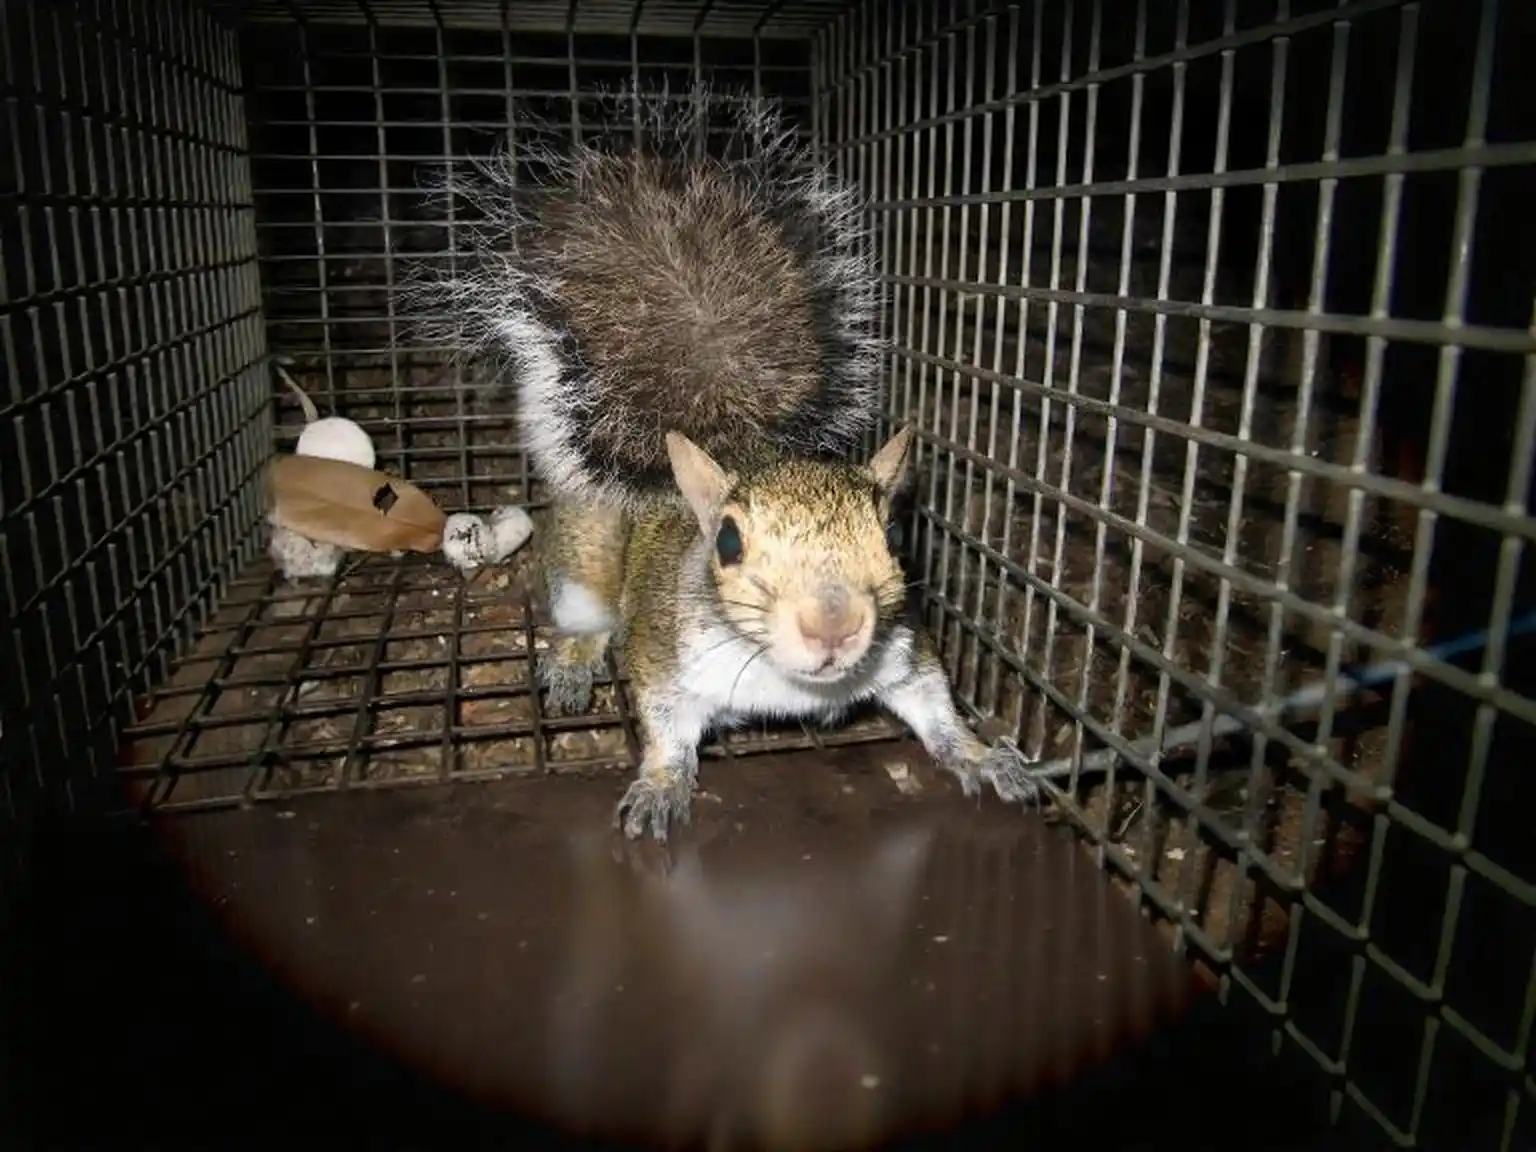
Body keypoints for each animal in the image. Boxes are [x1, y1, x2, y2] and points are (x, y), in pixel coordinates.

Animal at [414, 88, 1037, 841]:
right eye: (729, 542)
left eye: (893, 535)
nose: (833, 627)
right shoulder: (663, 655)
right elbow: (664, 728)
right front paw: (659, 786)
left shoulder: (903, 651)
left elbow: (937, 708)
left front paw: (983, 756)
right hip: (585, 559)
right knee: (586, 616)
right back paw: (573, 661)